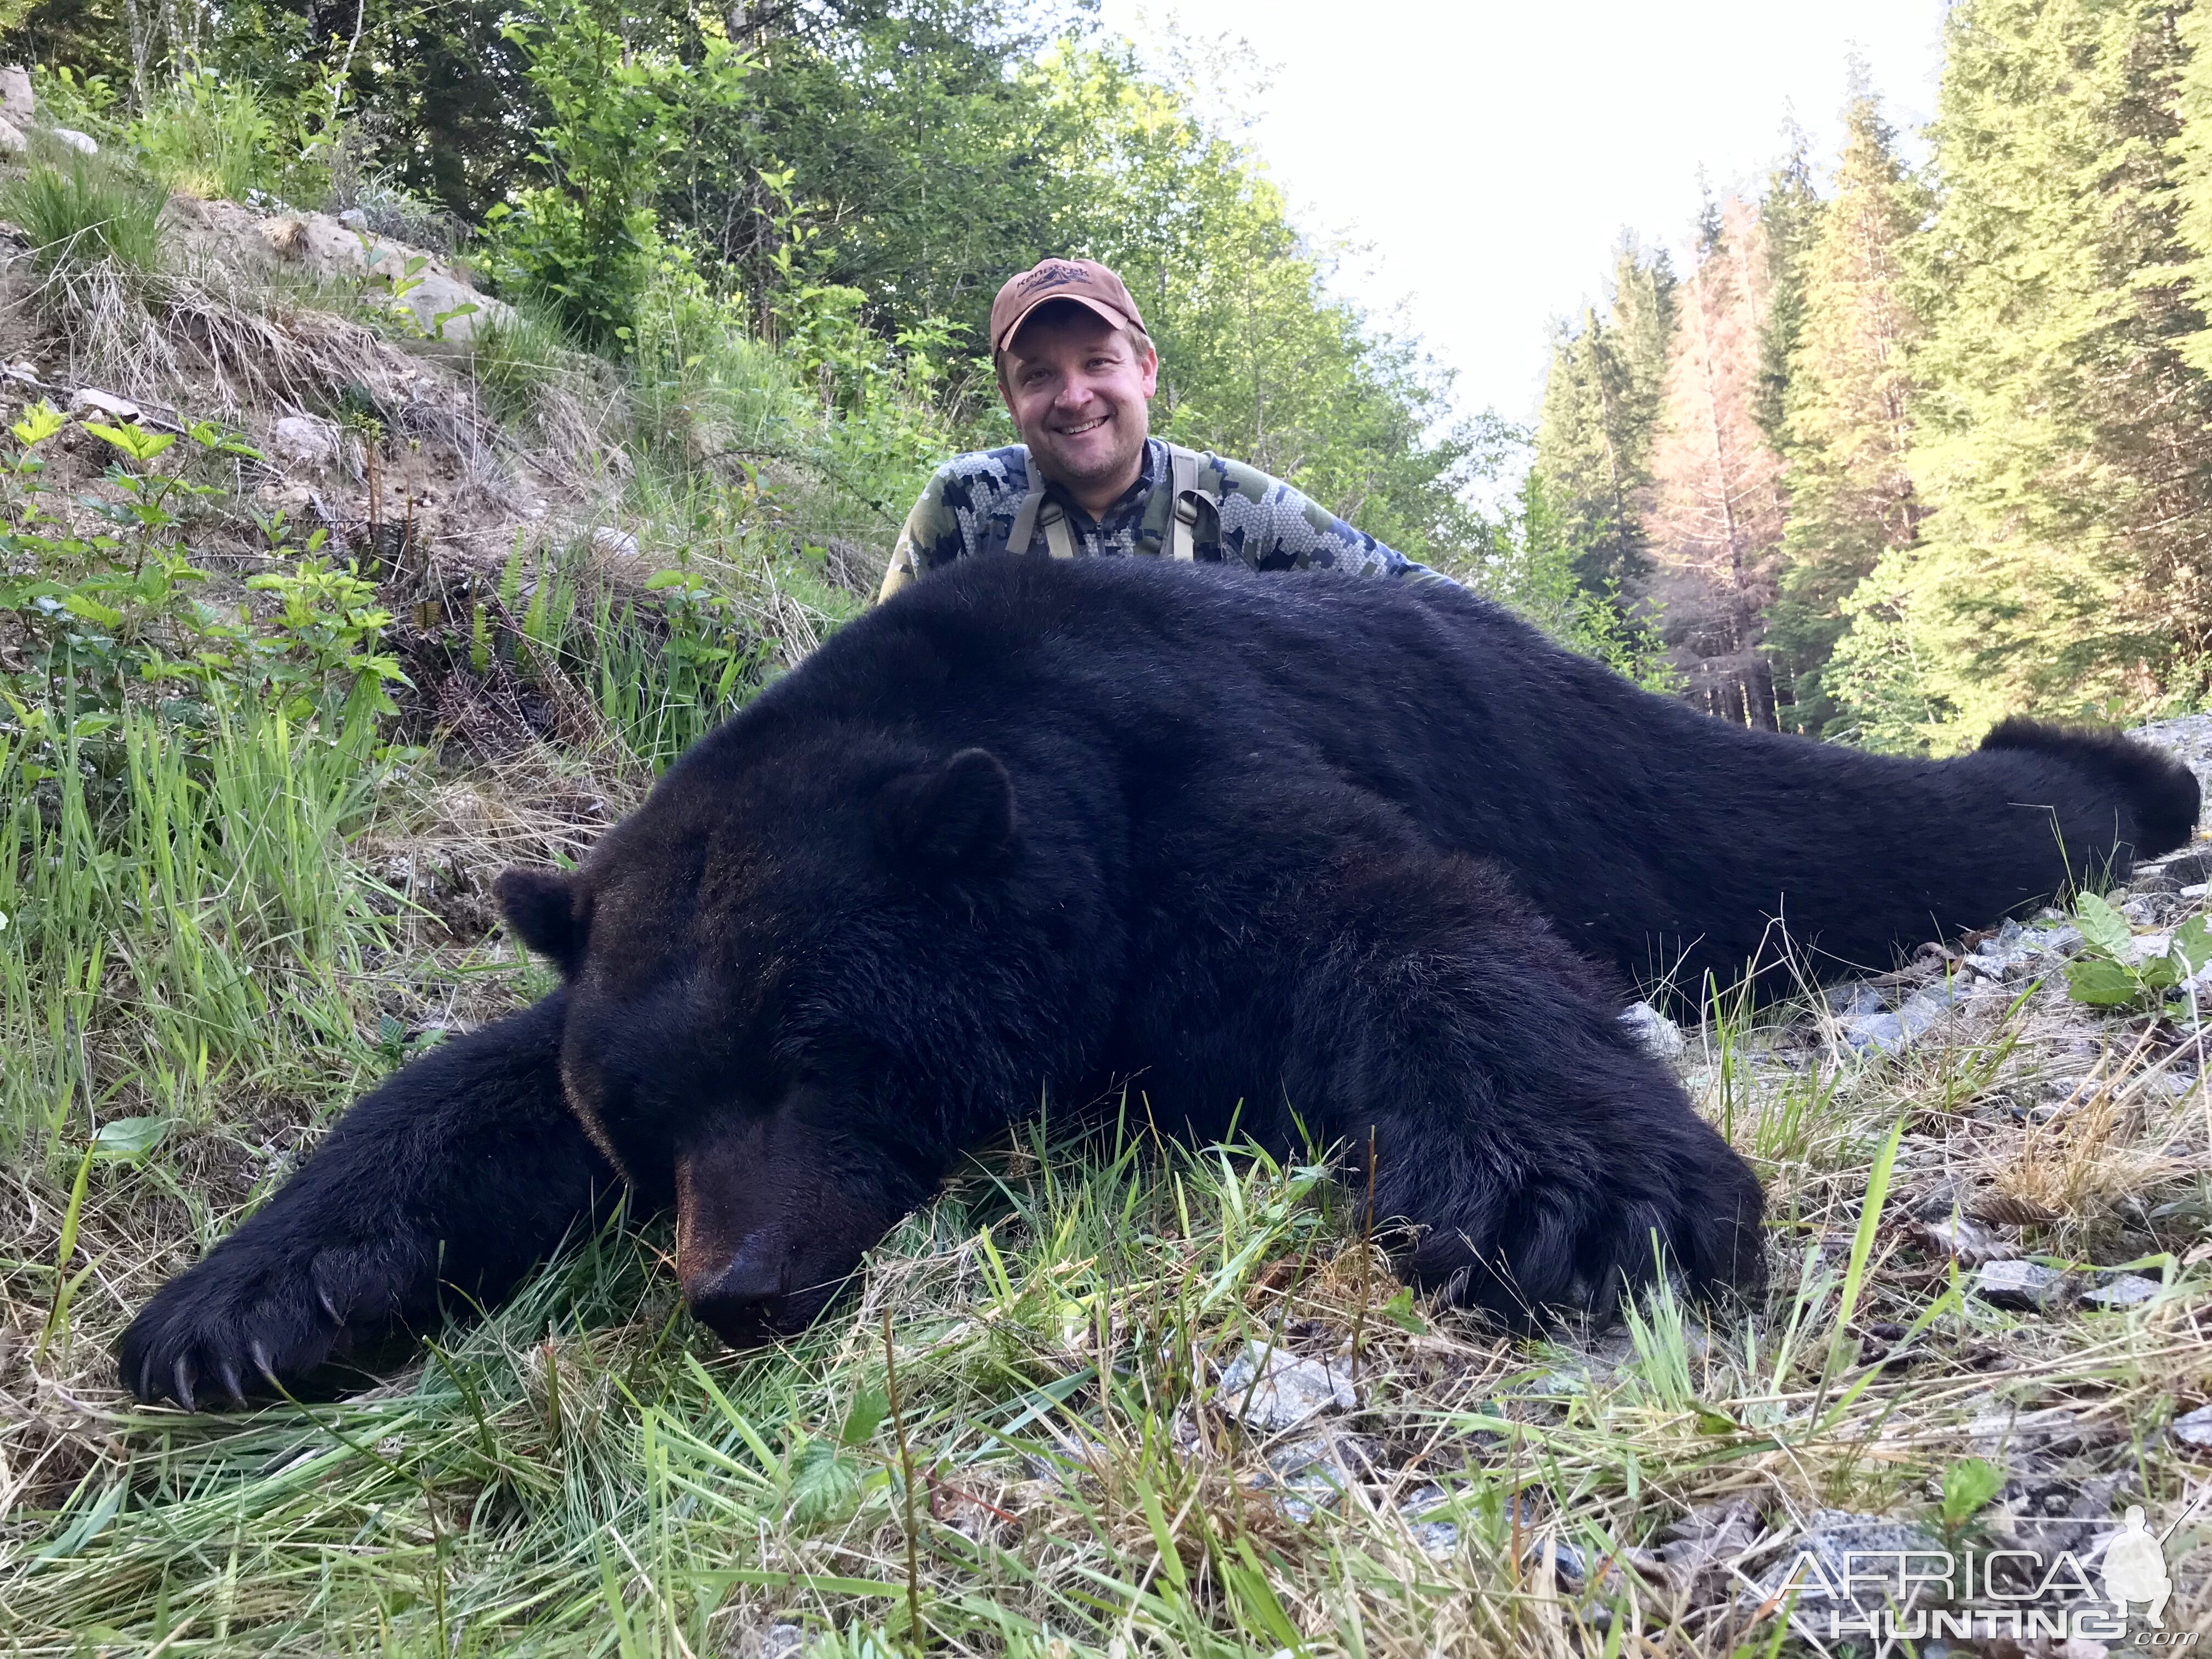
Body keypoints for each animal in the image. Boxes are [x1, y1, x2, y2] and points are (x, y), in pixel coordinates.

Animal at [116, 562, 2194, 1415]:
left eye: (820, 1053)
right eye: (644, 1118)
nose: (732, 1287)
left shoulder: (1180, 787)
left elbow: (1405, 922)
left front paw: (1571, 1192)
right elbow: (467, 1079)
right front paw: (239, 1305)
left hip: (1622, 775)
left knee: (1825, 827)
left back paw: (2113, 776)